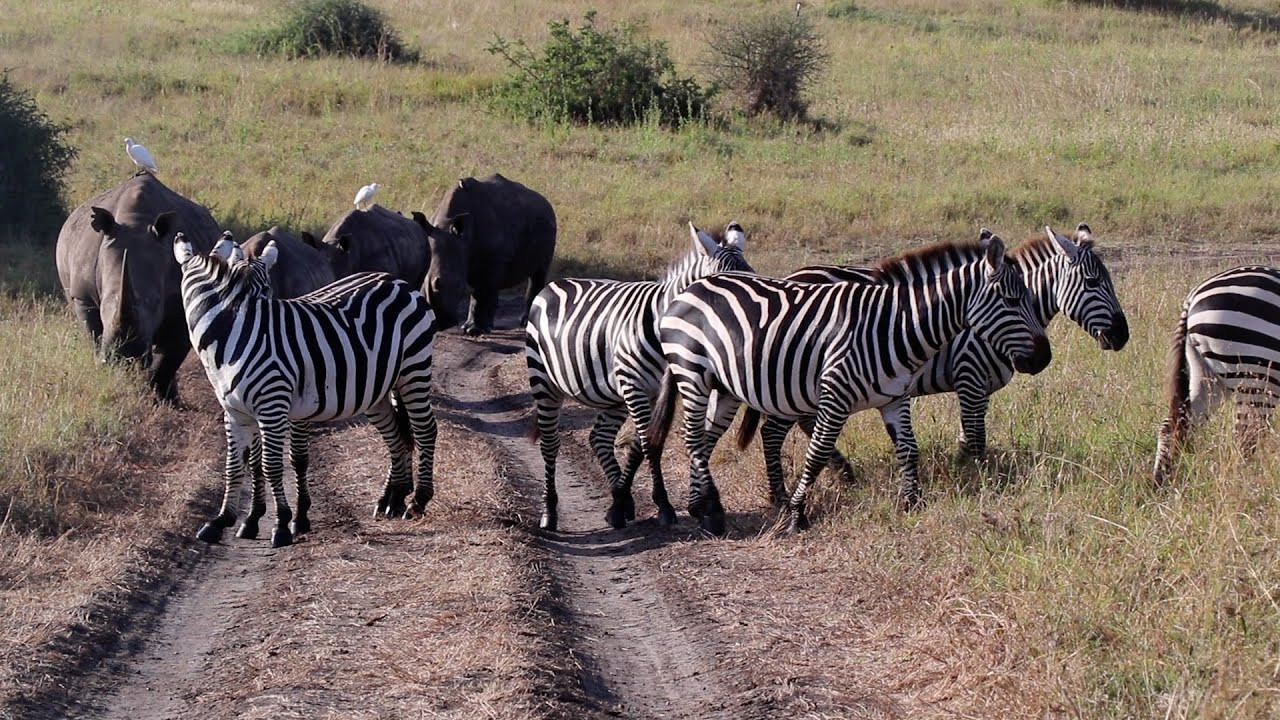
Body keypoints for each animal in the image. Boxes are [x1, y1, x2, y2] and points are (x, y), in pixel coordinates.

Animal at [55, 173, 222, 401]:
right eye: (106, 300)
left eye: (156, 301)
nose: (126, 355)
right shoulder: (83, 297)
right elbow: (94, 335)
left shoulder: (184, 305)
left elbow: (168, 360)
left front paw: (162, 400)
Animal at [422, 173, 557, 335]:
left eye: (458, 284)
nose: (441, 324)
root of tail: (546, 201)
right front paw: (471, 328)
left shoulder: (491, 259)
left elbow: (480, 292)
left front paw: (473, 331)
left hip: (548, 224)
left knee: (538, 273)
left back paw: (524, 323)